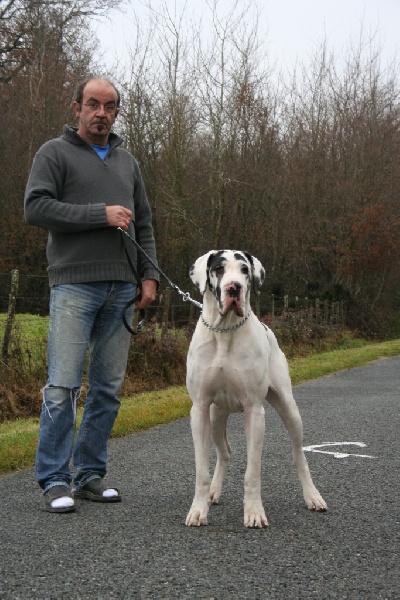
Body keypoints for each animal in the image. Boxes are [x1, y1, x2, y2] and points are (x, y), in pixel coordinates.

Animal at [185, 250, 327, 528]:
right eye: (218, 269)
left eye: (244, 270)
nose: (233, 288)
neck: (225, 330)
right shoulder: (199, 409)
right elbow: (201, 471)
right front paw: (198, 509)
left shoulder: (255, 411)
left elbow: (252, 472)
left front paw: (253, 512)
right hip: (215, 416)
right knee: (225, 452)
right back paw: (213, 493)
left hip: (289, 409)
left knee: (298, 454)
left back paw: (313, 496)